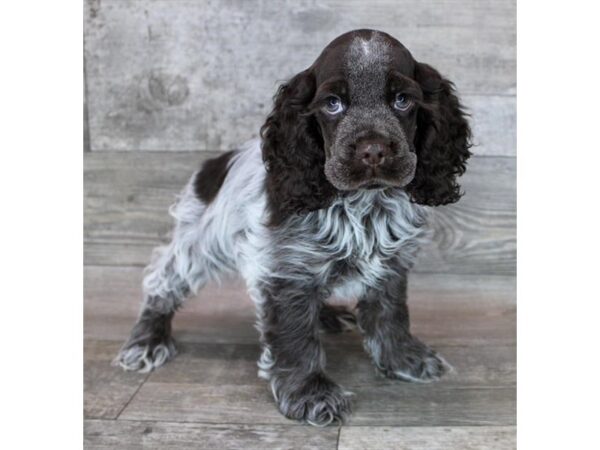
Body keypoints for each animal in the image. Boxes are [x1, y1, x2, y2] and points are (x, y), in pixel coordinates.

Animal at [116, 29, 474, 426]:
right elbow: (294, 336)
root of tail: (214, 163)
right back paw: (148, 339)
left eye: (402, 100)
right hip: (199, 243)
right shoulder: (286, 269)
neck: (363, 205)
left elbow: (391, 314)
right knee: (161, 280)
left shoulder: (390, 264)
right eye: (332, 104)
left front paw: (403, 359)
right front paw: (310, 393)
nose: (373, 151)